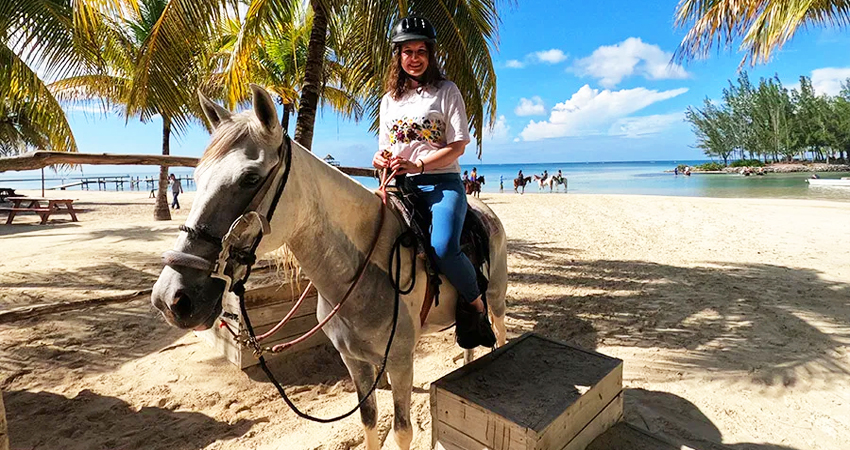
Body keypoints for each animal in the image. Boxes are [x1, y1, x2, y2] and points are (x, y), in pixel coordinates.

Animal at [148, 86, 504, 450]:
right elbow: (369, 421)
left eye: (250, 178)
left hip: (496, 300)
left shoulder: (402, 361)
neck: (362, 272)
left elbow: (402, 430)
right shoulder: (355, 361)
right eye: (196, 177)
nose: (170, 298)